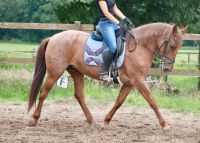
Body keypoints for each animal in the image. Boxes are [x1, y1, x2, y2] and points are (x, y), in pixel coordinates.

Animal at [27, 22, 188, 130]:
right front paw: (165, 124)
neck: (139, 47)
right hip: (55, 72)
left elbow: (119, 102)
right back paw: (34, 120)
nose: (167, 68)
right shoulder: (139, 81)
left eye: (179, 47)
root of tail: (53, 37)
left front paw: (106, 121)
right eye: (172, 45)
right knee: (43, 93)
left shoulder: (129, 83)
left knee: (79, 95)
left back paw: (92, 121)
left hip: (76, 72)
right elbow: (152, 101)